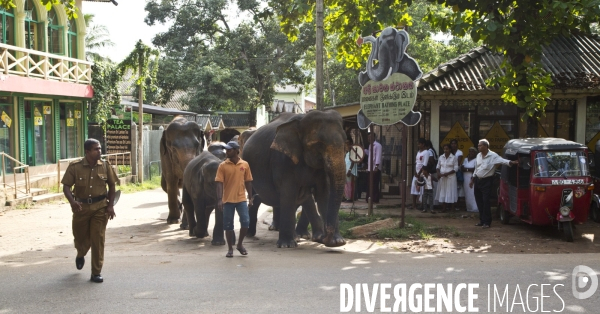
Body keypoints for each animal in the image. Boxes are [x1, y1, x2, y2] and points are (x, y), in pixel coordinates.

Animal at [243, 110, 346, 248]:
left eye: (345, 142)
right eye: (318, 144)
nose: (326, 238)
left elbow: (324, 194)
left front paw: (336, 242)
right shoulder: (283, 161)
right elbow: (288, 193)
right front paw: (287, 245)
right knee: (255, 200)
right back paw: (250, 234)